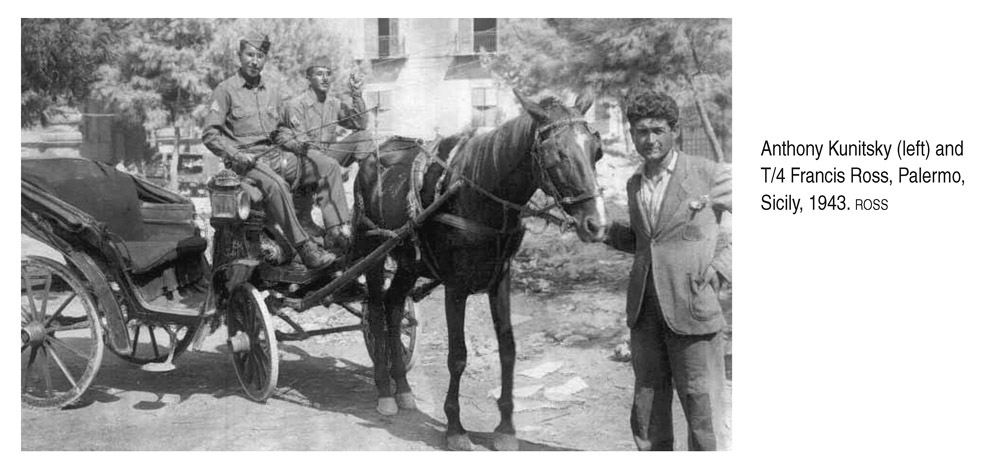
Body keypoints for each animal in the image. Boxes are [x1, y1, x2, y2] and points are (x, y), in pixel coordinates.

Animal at [350, 90, 604, 452]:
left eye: (597, 150)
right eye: (556, 155)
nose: (596, 224)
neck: (480, 194)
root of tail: (373, 156)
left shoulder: (501, 280)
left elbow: (508, 350)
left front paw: (506, 429)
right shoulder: (455, 287)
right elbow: (457, 356)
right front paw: (455, 429)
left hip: (410, 262)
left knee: (395, 306)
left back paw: (404, 388)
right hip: (372, 254)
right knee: (375, 312)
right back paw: (385, 392)